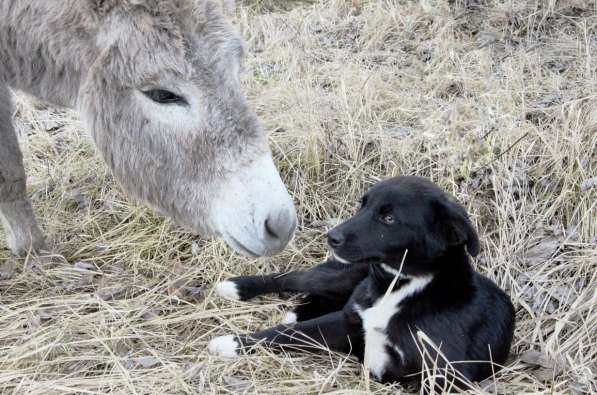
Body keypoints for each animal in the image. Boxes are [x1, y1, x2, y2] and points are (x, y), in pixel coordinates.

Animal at [207, 177, 516, 390]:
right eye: (362, 205)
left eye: (388, 218)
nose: (332, 237)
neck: (400, 288)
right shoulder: (346, 322)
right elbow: (283, 334)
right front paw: (230, 343)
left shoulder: (443, 375)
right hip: (343, 275)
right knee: (295, 277)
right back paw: (236, 287)